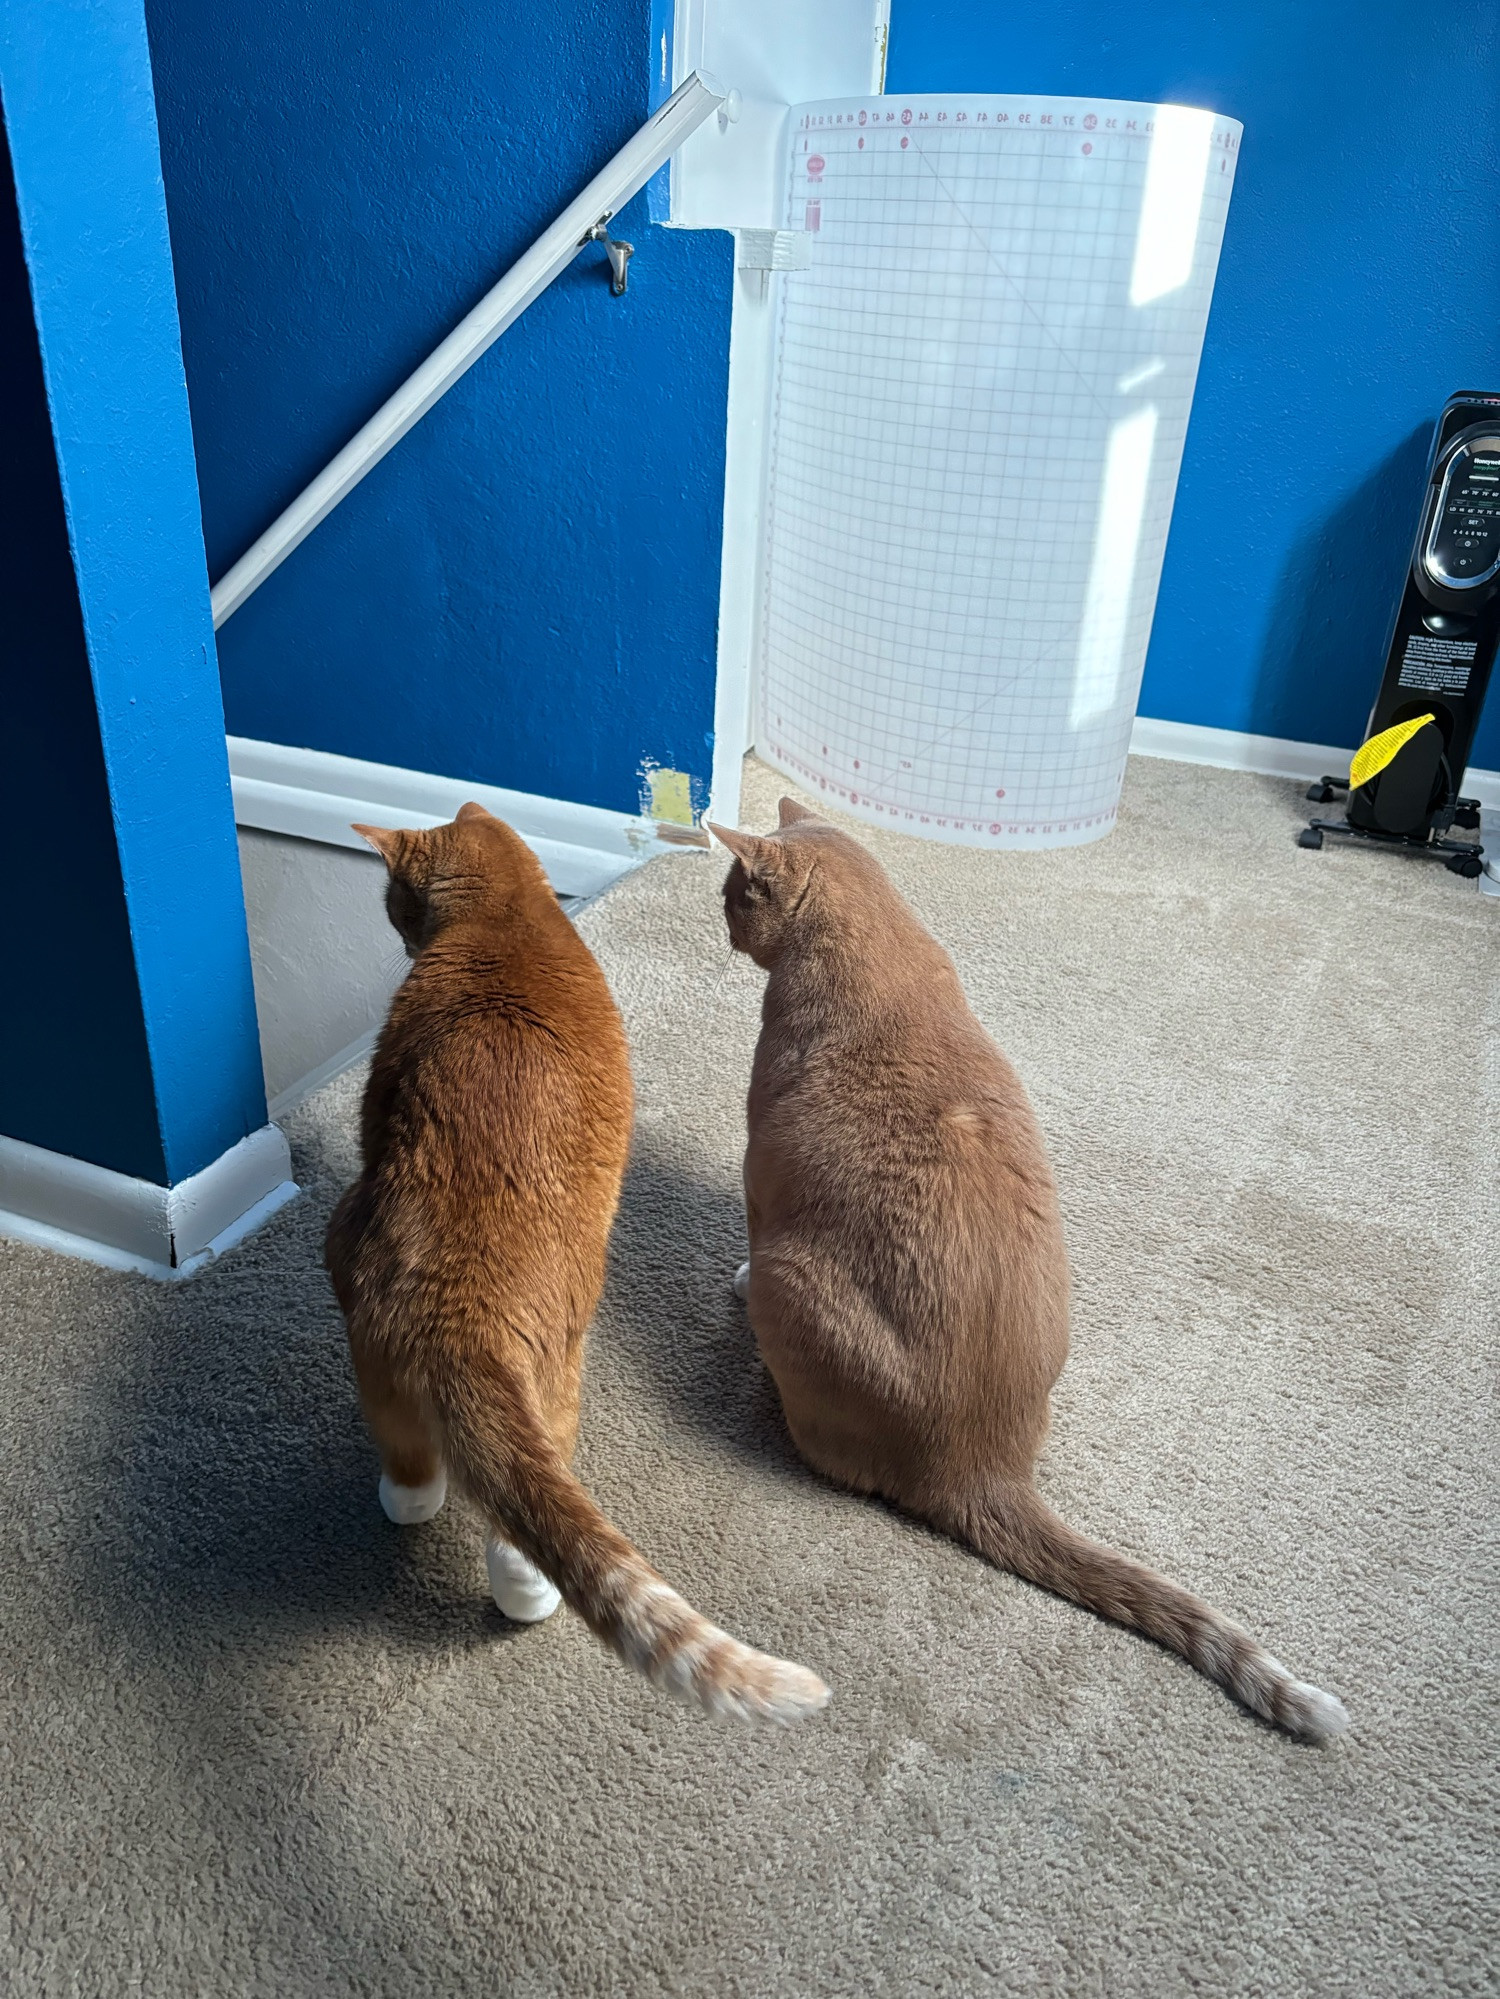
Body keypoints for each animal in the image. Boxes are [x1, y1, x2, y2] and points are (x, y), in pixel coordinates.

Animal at [324, 803, 836, 1727]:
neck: (508, 921)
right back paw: (516, 1589)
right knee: (507, 1517)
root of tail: (458, 1311)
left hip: (379, 1336)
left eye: (392, 902)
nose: (396, 927)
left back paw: (415, 1512)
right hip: (545, 1368)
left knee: (424, 1472)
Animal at [712, 795, 1352, 1735]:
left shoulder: (761, 1182)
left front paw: (731, 1281)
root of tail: (986, 1465)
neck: (878, 953)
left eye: (733, 896)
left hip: (794, 1285)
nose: (722, 924)